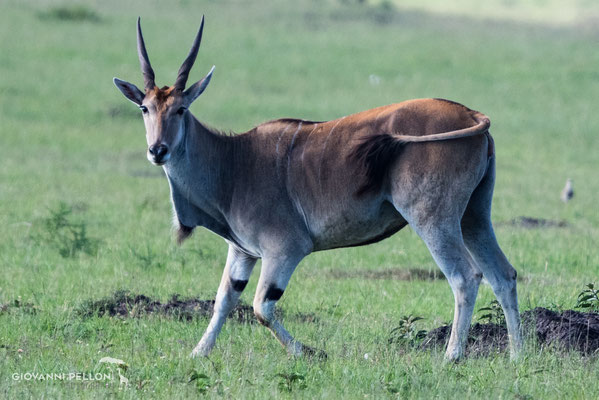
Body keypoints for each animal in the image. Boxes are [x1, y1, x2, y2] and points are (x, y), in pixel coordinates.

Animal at [111, 17, 520, 360]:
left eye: (180, 109)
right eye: (145, 108)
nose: (158, 150)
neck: (234, 162)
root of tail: (471, 114)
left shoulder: (285, 250)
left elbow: (261, 306)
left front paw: (309, 352)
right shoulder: (242, 252)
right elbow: (224, 300)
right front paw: (199, 353)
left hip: (433, 220)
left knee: (465, 278)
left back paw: (451, 357)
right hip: (474, 217)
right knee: (503, 275)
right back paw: (518, 356)